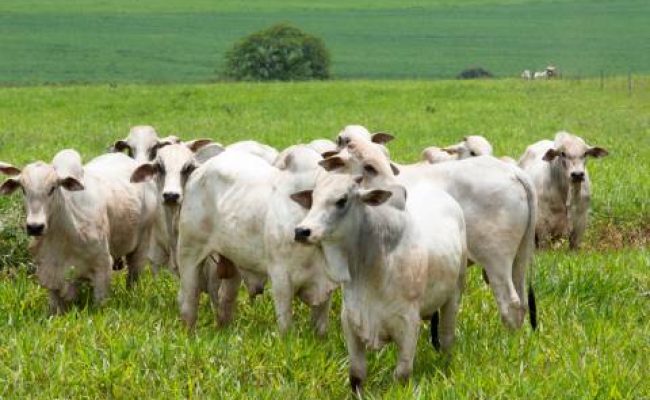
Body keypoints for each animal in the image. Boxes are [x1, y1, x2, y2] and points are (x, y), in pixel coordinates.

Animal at [0, 150, 157, 314]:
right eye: (23, 189)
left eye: (53, 188)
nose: (35, 227)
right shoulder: (50, 273)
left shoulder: (102, 266)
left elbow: (100, 304)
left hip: (142, 245)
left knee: (134, 276)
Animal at [176, 146, 337, 334]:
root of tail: (199, 168)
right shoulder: (281, 278)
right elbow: (285, 326)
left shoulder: (325, 289)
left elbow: (321, 328)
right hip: (188, 252)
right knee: (189, 300)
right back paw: (189, 333)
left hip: (232, 263)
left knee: (225, 300)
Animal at [291, 172, 467, 390]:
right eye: (313, 199)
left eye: (342, 200)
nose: (301, 231)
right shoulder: (350, 320)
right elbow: (356, 375)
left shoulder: (409, 323)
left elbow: (402, 375)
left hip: (454, 294)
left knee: (447, 337)